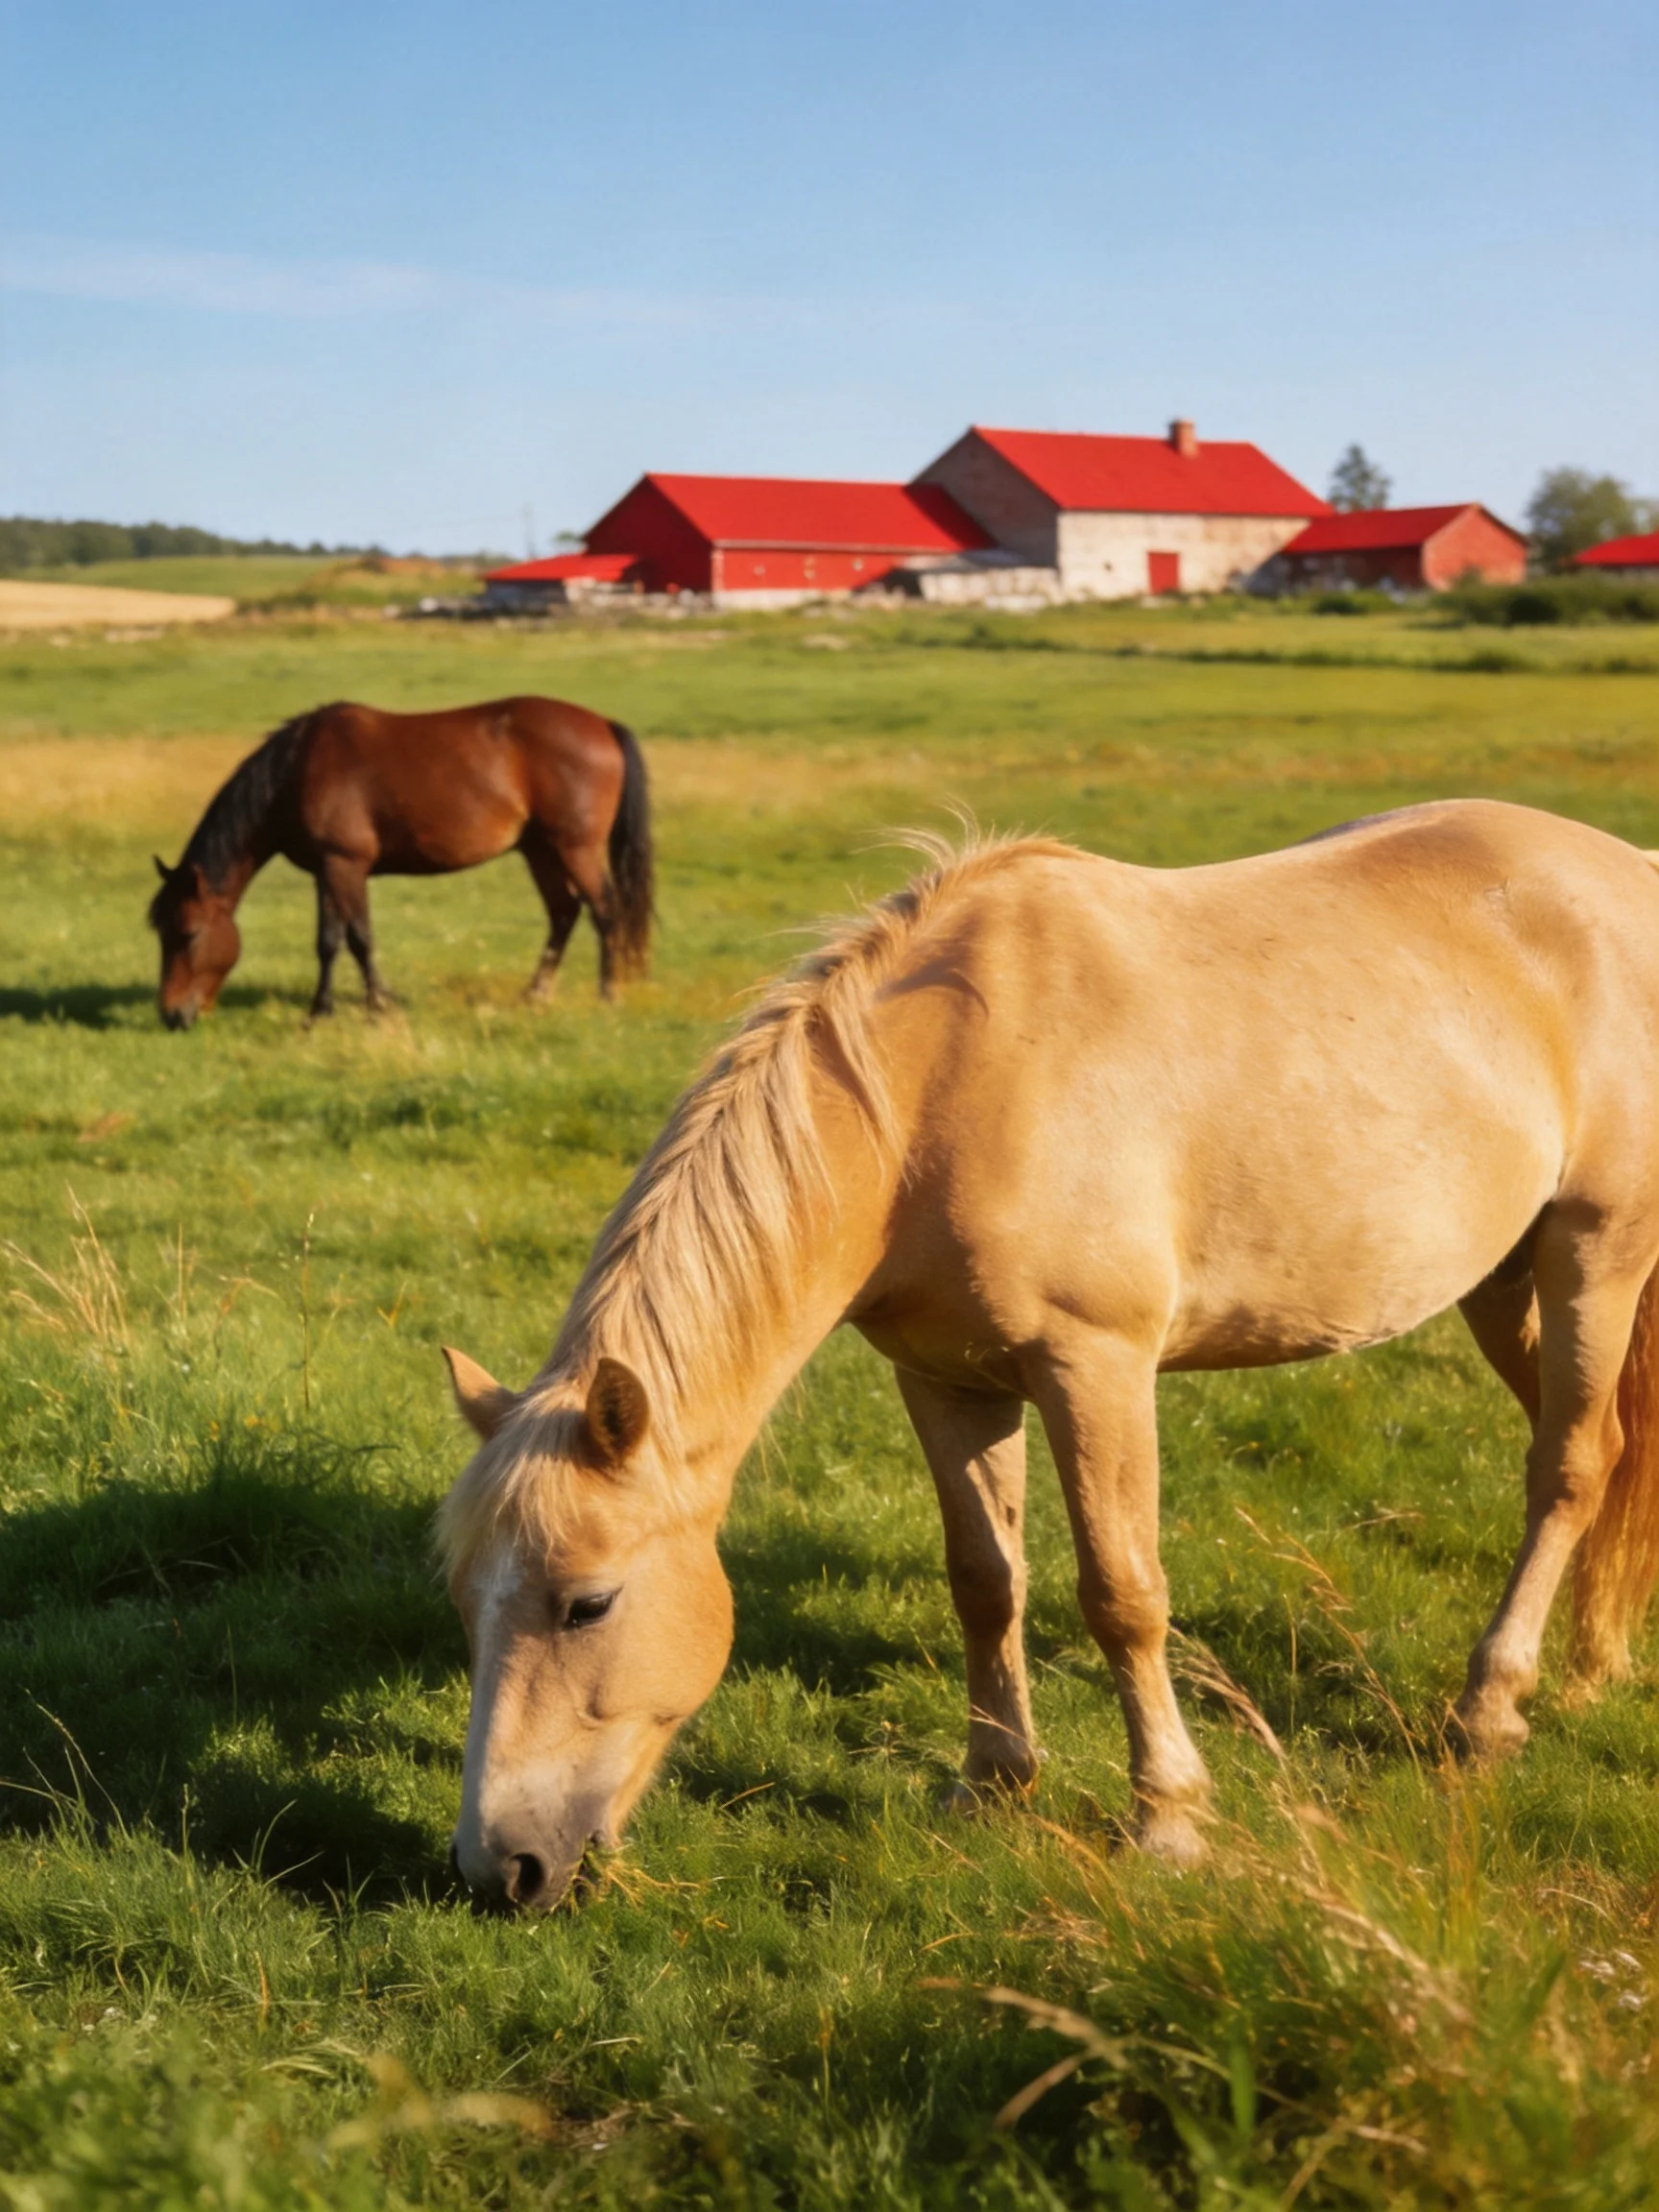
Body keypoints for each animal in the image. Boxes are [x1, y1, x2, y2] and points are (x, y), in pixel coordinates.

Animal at [147, 696, 653, 1028]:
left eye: (188, 934)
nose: (172, 1015)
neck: (295, 771)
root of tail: (602, 724)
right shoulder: (326, 871)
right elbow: (329, 941)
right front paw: (322, 1010)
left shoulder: (345, 864)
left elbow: (357, 938)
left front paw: (376, 1006)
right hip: (541, 850)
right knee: (564, 913)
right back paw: (536, 993)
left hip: (574, 848)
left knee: (605, 911)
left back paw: (608, 994)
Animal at [436, 800, 1659, 1911]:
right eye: (463, 1595)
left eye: (588, 1604)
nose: (502, 1868)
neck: (945, 1090)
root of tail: (1627, 869)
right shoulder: (946, 1380)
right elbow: (985, 1580)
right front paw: (994, 1782)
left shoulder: (1095, 1369)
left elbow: (1122, 1592)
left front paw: (1169, 1817)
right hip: (1499, 1279)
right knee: (1600, 1449)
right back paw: (1594, 1664)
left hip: (1594, 1250)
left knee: (1570, 1466)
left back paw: (1491, 1708)